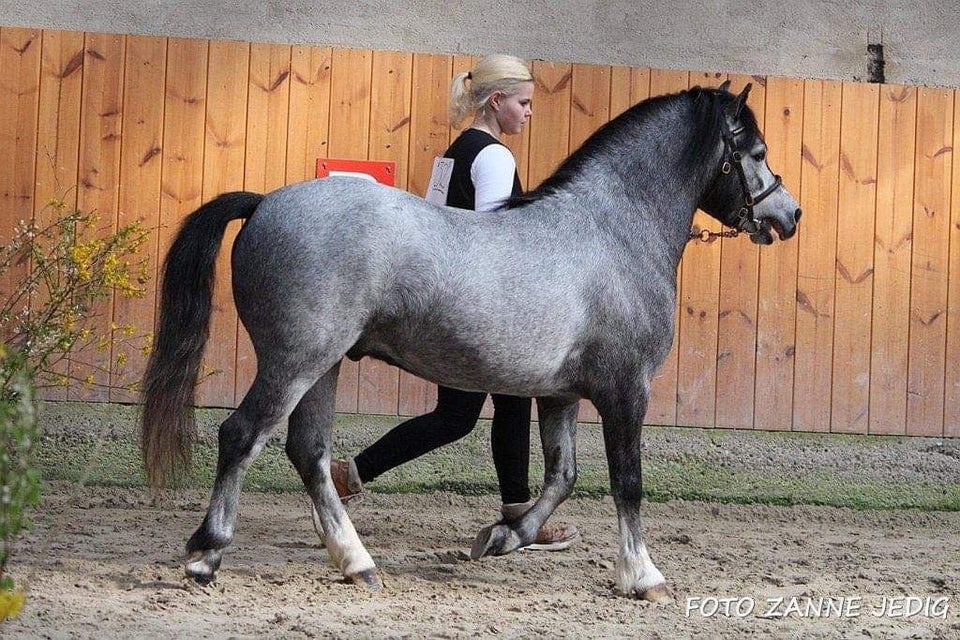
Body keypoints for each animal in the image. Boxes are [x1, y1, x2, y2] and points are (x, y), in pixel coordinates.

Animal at [141, 82, 804, 604]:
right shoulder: (626, 390)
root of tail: (264, 204)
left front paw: (504, 536)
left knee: (310, 454)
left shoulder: (560, 395)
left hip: (323, 366)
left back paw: (358, 564)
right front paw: (643, 577)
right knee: (241, 435)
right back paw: (206, 555)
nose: (789, 215)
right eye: (757, 152)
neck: (611, 232)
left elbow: (562, 475)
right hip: (294, 362)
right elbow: (627, 482)